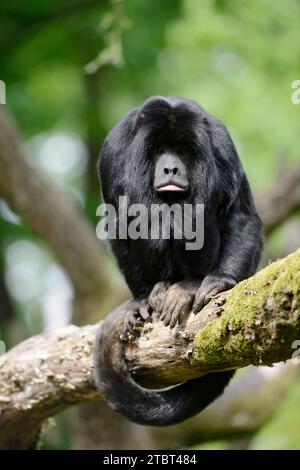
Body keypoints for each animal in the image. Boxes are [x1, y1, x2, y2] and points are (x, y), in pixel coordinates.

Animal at [93, 95, 262, 426]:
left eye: (183, 151)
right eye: (159, 150)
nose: (171, 167)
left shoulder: (221, 145)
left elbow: (240, 214)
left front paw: (219, 282)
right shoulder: (113, 153)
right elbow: (119, 222)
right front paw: (142, 301)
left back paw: (187, 286)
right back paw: (159, 290)